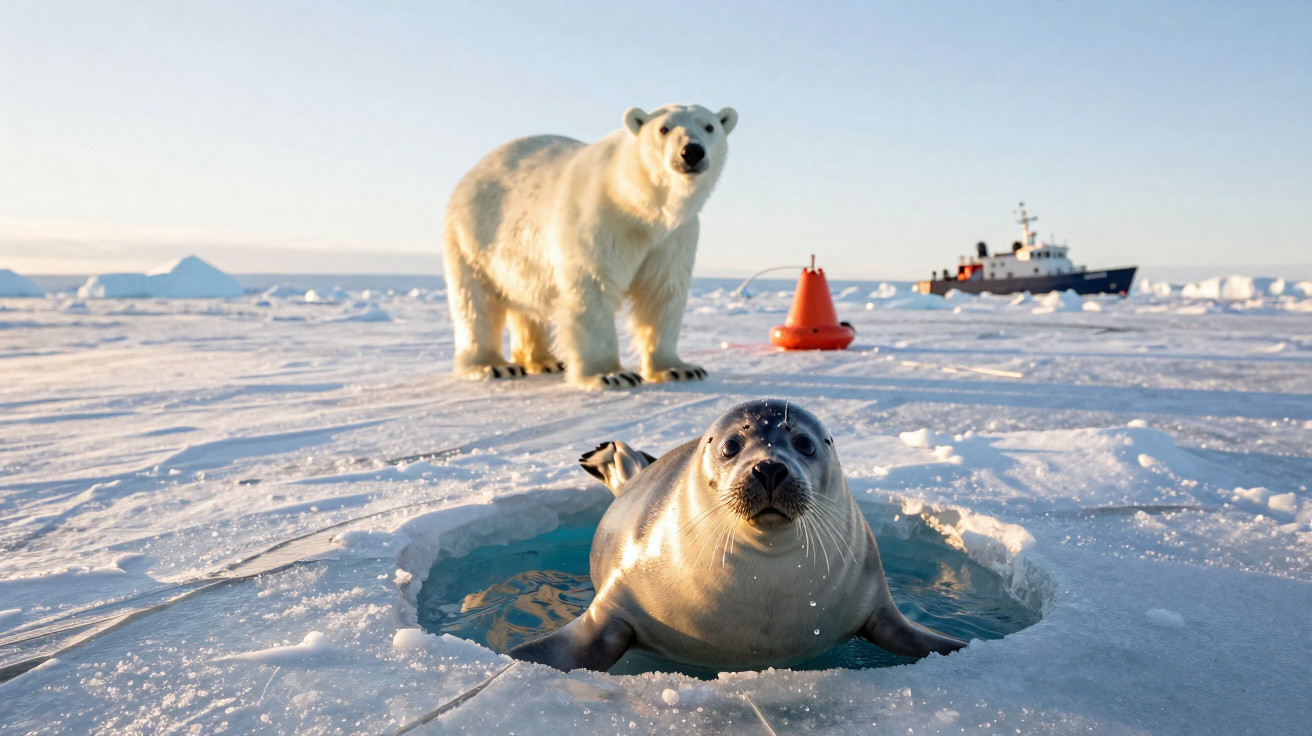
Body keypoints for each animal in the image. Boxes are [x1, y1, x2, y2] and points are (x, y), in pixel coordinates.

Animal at [441, 104, 738, 390]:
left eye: (709, 126)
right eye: (663, 128)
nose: (692, 151)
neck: (637, 204)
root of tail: (473, 172)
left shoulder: (673, 238)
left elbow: (661, 292)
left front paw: (679, 369)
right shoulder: (599, 219)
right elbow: (593, 288)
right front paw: (611, 374)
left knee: (527, 303)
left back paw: (546, 361)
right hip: (473, 238)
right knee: (475, 303)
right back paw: (492, 366)